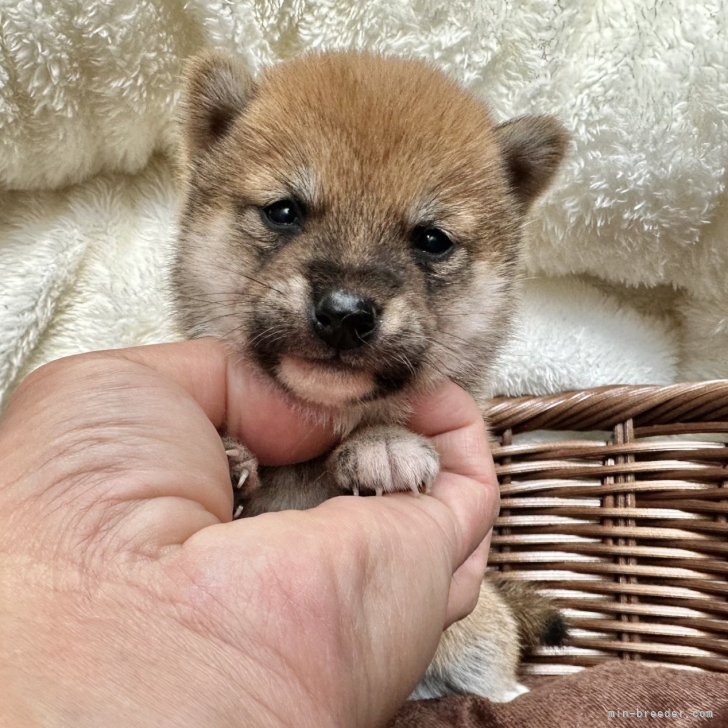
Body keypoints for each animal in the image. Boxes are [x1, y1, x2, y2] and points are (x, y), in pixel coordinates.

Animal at [172, 49, 568, 700]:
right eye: (284, 211)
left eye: (432, 240)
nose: (344, 313)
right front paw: (231, 457)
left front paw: (382, 443)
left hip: (478, 639)